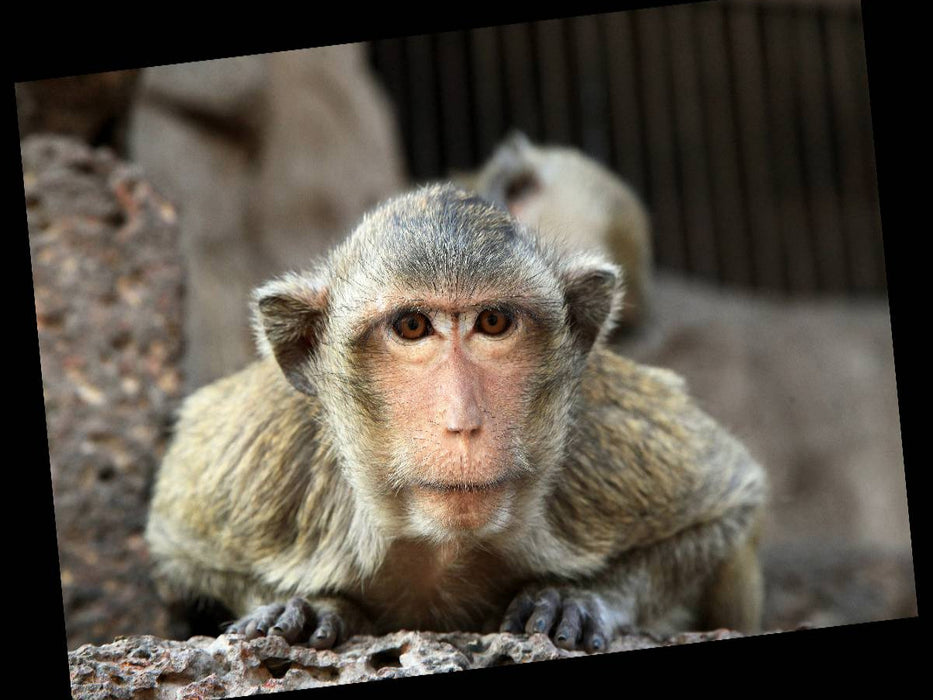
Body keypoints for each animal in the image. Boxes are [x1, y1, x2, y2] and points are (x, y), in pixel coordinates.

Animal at [145, 184, 766, 653]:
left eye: (493, 322)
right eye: (412, 326)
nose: (463, 422)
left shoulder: (597, 443)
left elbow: (725, 504)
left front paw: (580, 597)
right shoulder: (261, 466)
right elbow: (177, 545)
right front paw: (311, 606)